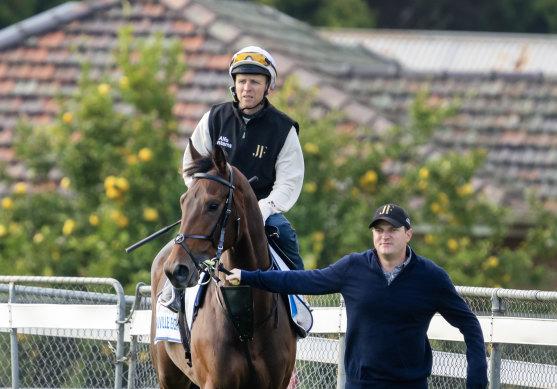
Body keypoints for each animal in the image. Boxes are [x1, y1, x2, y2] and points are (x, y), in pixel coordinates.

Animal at [148, 143, 296, 388]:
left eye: (213, 205)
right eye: (183, 202)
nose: (175, 269)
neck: (247, 320)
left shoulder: (276, 383)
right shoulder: (214, 382)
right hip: (168, 377)